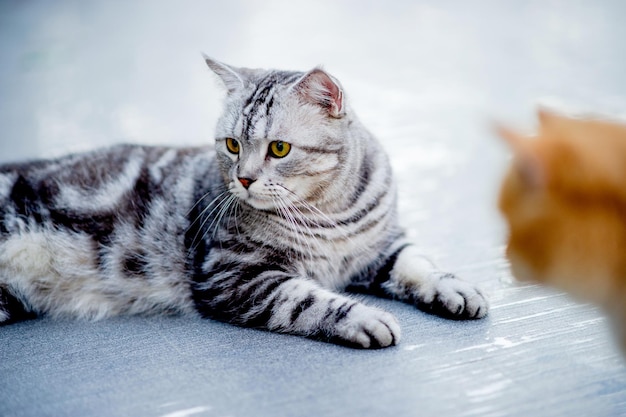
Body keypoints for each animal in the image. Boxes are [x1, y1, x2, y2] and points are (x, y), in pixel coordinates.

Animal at [0, 56, 488, 348]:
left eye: (279, 149)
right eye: (232, 144)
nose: (244, 178)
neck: (329, 213)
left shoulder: (380, 248)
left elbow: (418, 263)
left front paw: (453, 287)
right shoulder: (232, 273)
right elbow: (307, 301)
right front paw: (363, 318)